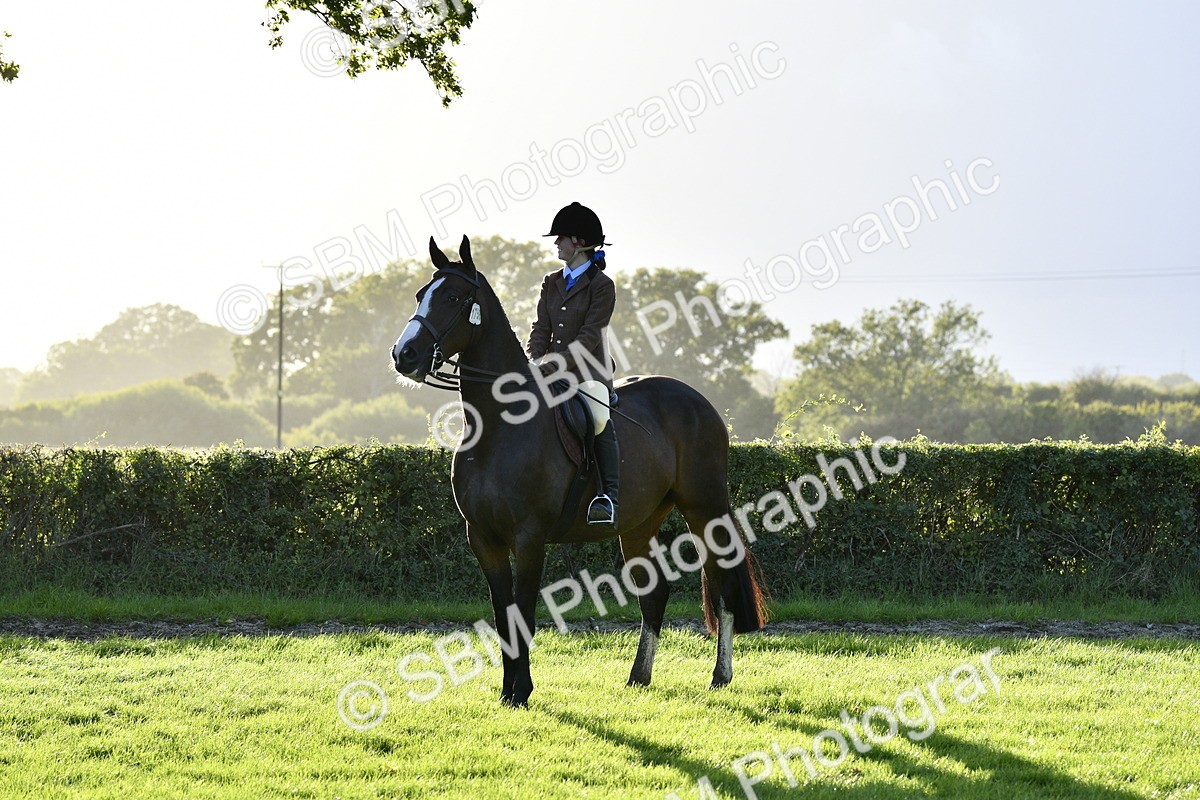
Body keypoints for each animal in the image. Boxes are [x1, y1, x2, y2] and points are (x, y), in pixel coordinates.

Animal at [391, 235, 766, 707]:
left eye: (455, 298)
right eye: (421, 294)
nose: (404, 355)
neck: (498, 425)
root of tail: (699, 400)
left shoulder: (529, 537)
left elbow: (523, 614)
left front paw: (520, 691)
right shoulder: (483, 538)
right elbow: (503, 616)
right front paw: (507, 691)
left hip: (704, 507)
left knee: (721, 582)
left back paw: (720, 674)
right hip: (639, 522)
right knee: (654, 592)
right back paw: (638, 676)